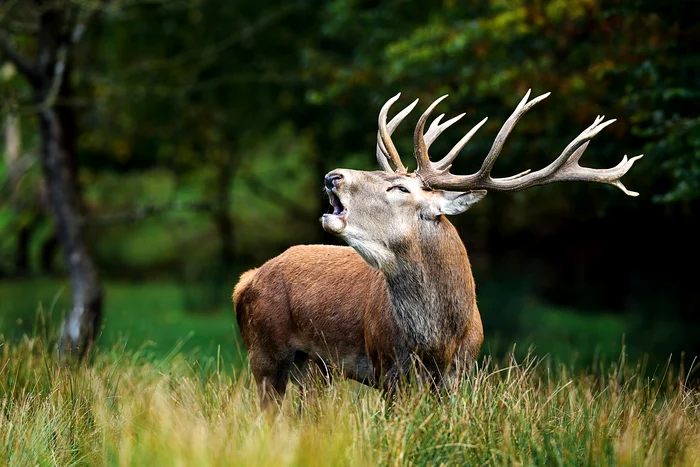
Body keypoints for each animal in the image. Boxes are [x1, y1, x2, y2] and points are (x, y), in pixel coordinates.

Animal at [233, 90, 642, 409]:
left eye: (399, 187)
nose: (333, 175)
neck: (438, 340)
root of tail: (246, 280)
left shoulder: (460, 374)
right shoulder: (387, 367)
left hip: (314, 368)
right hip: (265, 351)